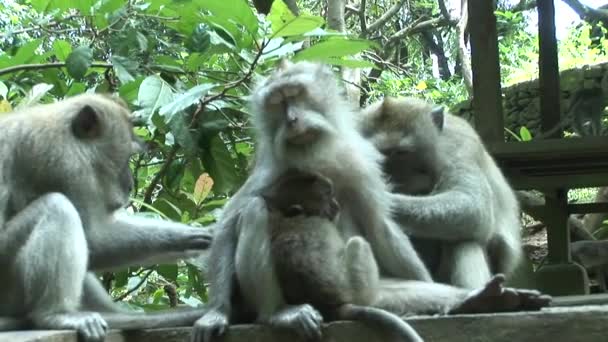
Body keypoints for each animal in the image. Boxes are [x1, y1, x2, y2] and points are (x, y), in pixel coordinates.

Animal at [0, 93, 213, 340]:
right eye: (126, 156)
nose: (130, 185)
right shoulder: (66, 164)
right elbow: (95, 240)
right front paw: (188, 237)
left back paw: (118, 316)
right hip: (8, 278)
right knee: (57, 208)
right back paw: (56, 315)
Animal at [260, 170, 422, 342]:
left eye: (331, 194)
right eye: (327, 196)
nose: (336, 205)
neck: (289, 217)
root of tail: (332, 306)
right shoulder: (323, 224)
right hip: (357, 288)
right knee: (358, 244)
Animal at [360, 95, 524, 288]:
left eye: (401, 153)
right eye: (377, 153)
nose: (388, 173)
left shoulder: (458, 147)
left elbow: (474, 206)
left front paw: (380, 197)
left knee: (465, 240)